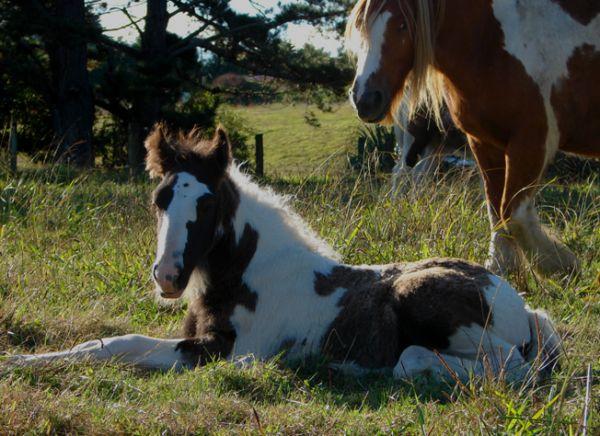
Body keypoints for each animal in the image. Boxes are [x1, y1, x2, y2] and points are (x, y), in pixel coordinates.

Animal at [8, 127, 564, 384]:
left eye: (206, 203)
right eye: (159, 199)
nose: (167, 276)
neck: (247, 275)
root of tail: (523, 307)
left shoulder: (233, 352)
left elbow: (126, 346)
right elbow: (104, 342)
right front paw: (19, 360)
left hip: (426, 301)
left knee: (500, 365)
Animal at [346, 0, 600, 276]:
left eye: (402, 25)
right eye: (361, 27)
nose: (364, 99)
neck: (489, 42)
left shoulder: (531, 141)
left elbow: (512, 213)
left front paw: (558, 264)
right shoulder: (486, 143)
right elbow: (498, 208)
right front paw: (508, 266)